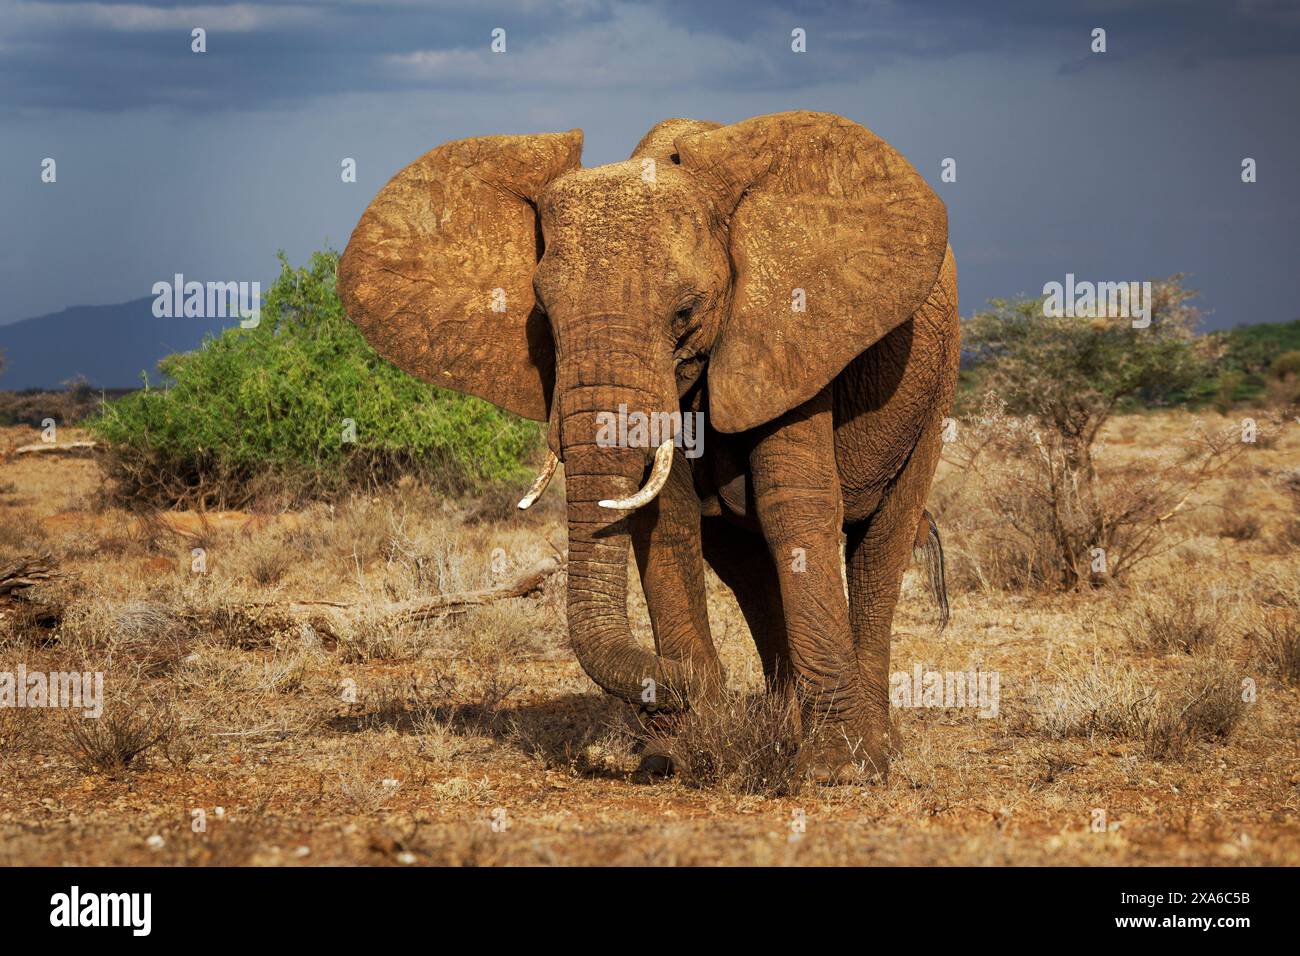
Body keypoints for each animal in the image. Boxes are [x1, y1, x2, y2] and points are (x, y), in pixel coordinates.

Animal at [340, 110, 961, 785]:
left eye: (686, 312)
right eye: (543, 318)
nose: (674, 697)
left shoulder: (790, 332)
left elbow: (793, 506)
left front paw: (837, 769)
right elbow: (669, 517)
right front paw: (685, 753)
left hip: (935, 385)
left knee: (882, 544)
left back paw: (869, 746)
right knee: (743, 563)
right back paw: (780, 723)